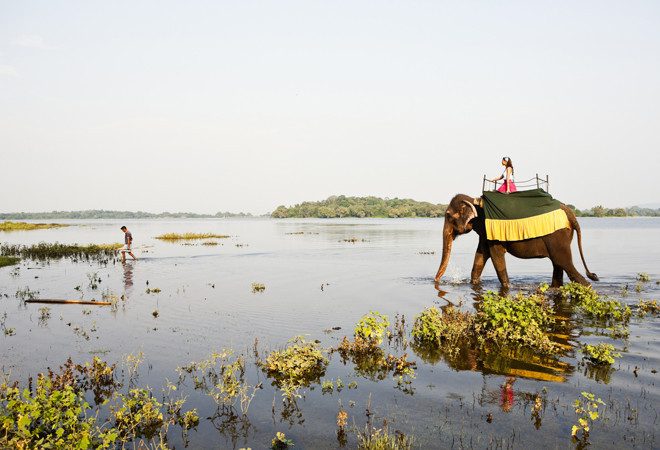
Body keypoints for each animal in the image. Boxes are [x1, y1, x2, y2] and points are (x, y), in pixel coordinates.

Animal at [434, 192, 600, 286]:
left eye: (448, 215)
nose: (437, 280)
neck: (474, 201)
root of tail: (570, 213)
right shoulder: (485, 233)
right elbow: (480, 256)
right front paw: (473, 283)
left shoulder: (492, 232)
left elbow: (496, 256)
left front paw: (507, 286)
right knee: (558, 265)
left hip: (558, 237)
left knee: (564, 263)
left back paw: (587, 286)